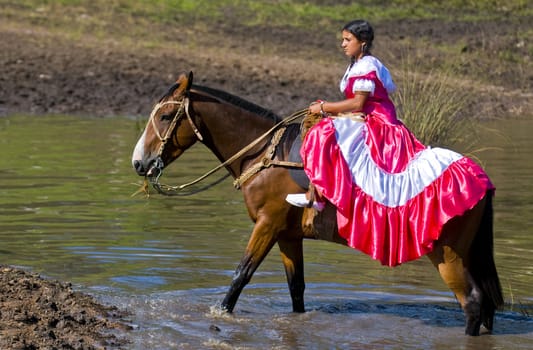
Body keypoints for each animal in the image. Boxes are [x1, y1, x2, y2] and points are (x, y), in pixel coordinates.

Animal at [131, 72, 500, 336]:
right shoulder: (288, 235)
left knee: (472, 303)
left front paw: (220, 315)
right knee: (487, 306)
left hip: (447, 255)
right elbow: (297, 290)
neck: (265, 155)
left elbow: (240, 277)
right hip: (467, 254)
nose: (139, 162)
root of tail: (480, 178)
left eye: (165, 116)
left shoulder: (267, 225)